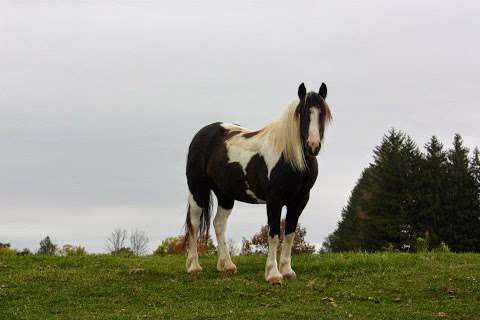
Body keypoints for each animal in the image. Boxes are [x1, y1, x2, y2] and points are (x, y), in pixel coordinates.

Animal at [183, 83, 330, 284]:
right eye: (302, 112)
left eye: (323, 113)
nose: (313, 146)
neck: (290, 157)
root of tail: (201, 135)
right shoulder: (274, 199)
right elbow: (274, 234)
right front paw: (273, 274)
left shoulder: (299, 200)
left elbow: (290, 234)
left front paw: (287, 271)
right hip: (197, 190)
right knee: (194, 223)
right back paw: (194, 267)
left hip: (225, 195)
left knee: (219, 224)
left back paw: (227, 266)